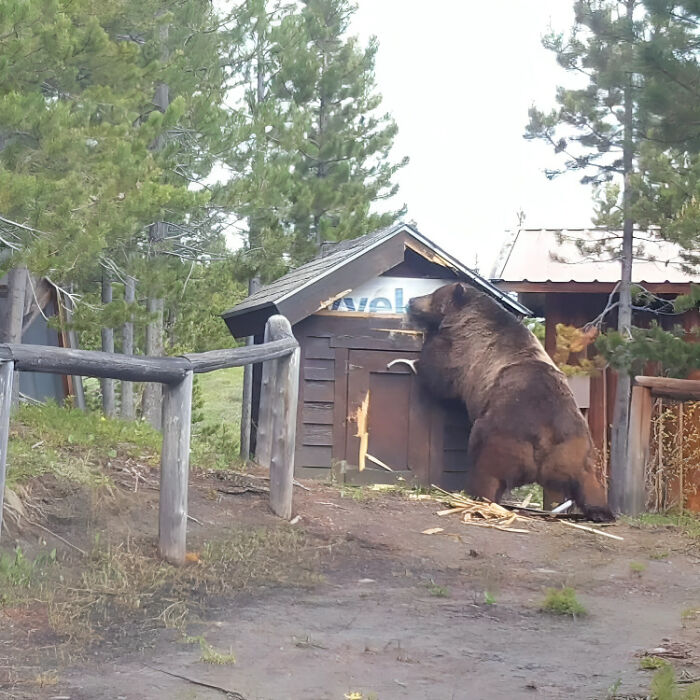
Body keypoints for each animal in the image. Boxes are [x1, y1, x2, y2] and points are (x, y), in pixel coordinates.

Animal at [407, 282, 614, 522]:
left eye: (433, 294)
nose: (411, 300)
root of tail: (545, 439)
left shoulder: (466, 351)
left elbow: (440, 374)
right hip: (575, 448)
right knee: (587, 480)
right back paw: (602, 511)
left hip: (501, 435)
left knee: (486, 467)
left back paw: (479, 498)